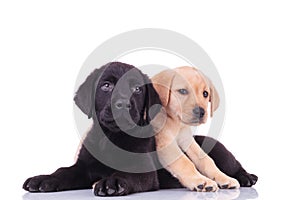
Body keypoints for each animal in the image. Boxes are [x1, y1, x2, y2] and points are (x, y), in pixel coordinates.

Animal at [23, 61, 162, 196]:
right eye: (106, 86)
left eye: (137, 89)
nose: (123, 104)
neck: (110, 137)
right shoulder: (83, 167)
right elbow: (63, 171)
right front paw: (45, 178)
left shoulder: (144, 168)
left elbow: (126, 173)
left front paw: (113, 181)